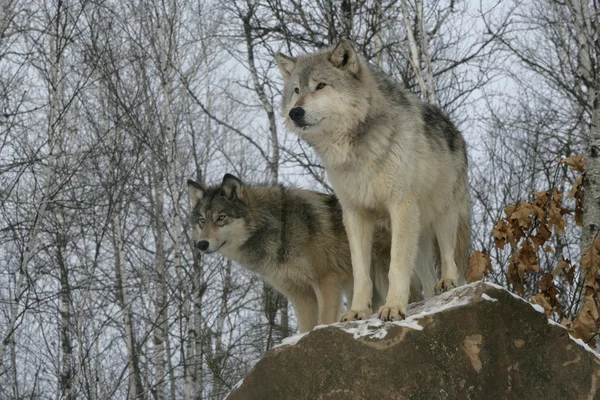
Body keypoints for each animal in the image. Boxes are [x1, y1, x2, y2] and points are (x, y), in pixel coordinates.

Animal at [188, 173, 426, 332]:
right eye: (201, 220)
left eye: (221, 218)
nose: (201, 244)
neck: (281, 227)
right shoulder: (299, 294)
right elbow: (305, 328)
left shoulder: (326, 281)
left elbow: (324, 320)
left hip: (384, 277)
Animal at [276, 39, 468, 324]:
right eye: (296, 90)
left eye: (321, 85)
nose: (294, 112)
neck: (355, 150)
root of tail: (454, 128)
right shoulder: (354, 214)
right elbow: (360, 273)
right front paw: (357, 310)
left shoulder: (400, 206)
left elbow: (397, 266)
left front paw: (393, 307)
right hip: (418, 233)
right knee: (425, 274)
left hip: (443, 216)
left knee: (448, 256)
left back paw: (448, 283)